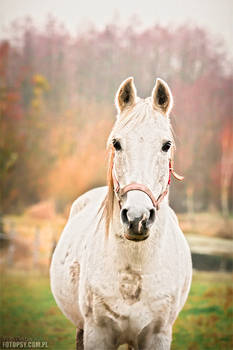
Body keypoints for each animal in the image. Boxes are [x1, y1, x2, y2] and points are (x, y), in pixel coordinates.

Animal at [50, 77, 192, 350]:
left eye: (166, 145)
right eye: (117, 143)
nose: (138, 218)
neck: (134, 269)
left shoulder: (158, 335)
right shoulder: (97, 332)